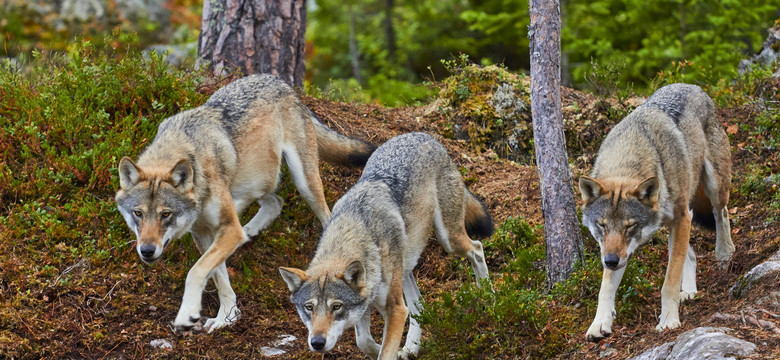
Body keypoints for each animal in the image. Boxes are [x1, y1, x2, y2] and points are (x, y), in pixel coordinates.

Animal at [114, 74, 376, 334]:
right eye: (138, 213)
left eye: (166, 214)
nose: (146, 250)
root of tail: (280, 82)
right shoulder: (205, 233)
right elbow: (219, 278)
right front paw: (226, 318)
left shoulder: (227, 230)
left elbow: (196, 271)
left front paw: (187, 314)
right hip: (255, 181)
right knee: (275, 202)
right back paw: (249, 231)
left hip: (304, 183)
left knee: (324, 216)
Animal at [278, 133, 490, 360]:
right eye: (309, 307)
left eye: (336, 306)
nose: (317, 343)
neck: (354, 229)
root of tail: (425, 136)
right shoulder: (365, 307)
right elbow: (364, 342)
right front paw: (389, 350)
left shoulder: (395, 309)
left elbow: (384, 350)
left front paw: (390, 351)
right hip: (406, 267)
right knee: (418, 306)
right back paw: (411, 347)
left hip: (449, 240)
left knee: (477, 248)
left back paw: (489, 298)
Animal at [580, 83, 736, 342]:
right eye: (602, 226)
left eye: (630, 226)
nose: (610, 261)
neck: (628, 159)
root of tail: (693, 86)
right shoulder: (617, 250)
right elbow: (606, 288)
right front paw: (600, 323)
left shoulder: (683, 217)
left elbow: (669, 281)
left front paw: (669, 320)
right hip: (672, 224)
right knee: (690, 254)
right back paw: (690, 291)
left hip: (713, 188)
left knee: (721, 214)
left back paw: (724, 254)